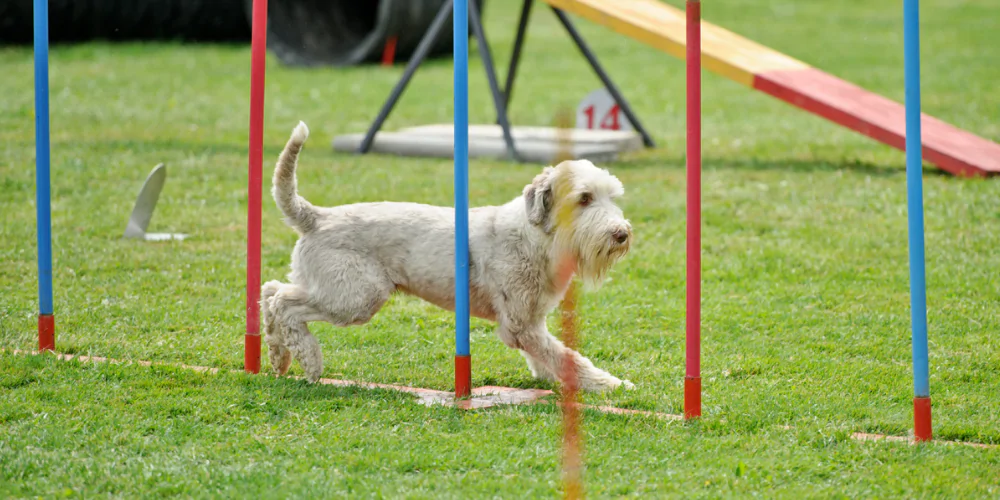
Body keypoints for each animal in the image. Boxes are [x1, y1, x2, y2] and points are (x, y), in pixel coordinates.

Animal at [258, 121, 632, 390]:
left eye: (612, 196)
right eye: (584, 198)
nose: (622, 234)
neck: (536, 236)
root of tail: (318, 216)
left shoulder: (531, 321)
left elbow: (549, 355)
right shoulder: (520, 324)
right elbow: (569, 357)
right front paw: (611, 384)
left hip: (328, 286)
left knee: (270, 291)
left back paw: (278, 356)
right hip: (356, 296)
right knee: (285, 303)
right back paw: (310, 362)